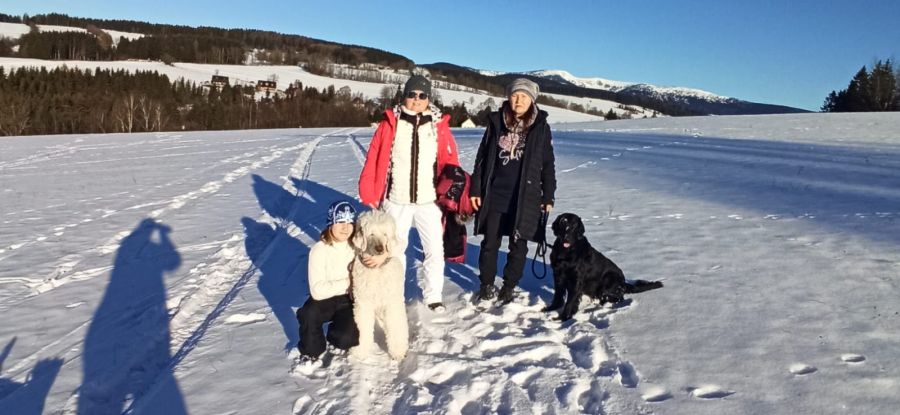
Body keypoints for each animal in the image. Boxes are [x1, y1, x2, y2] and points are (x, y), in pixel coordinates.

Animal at [349, 210, 409, 360]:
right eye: (371, 233)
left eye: (385, 234)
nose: (380, 248)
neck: (376, 269)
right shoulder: (363, 303)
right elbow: (363, 328)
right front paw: (360, 351)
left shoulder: (392, 303)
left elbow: (396, 327)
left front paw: (398, 352)